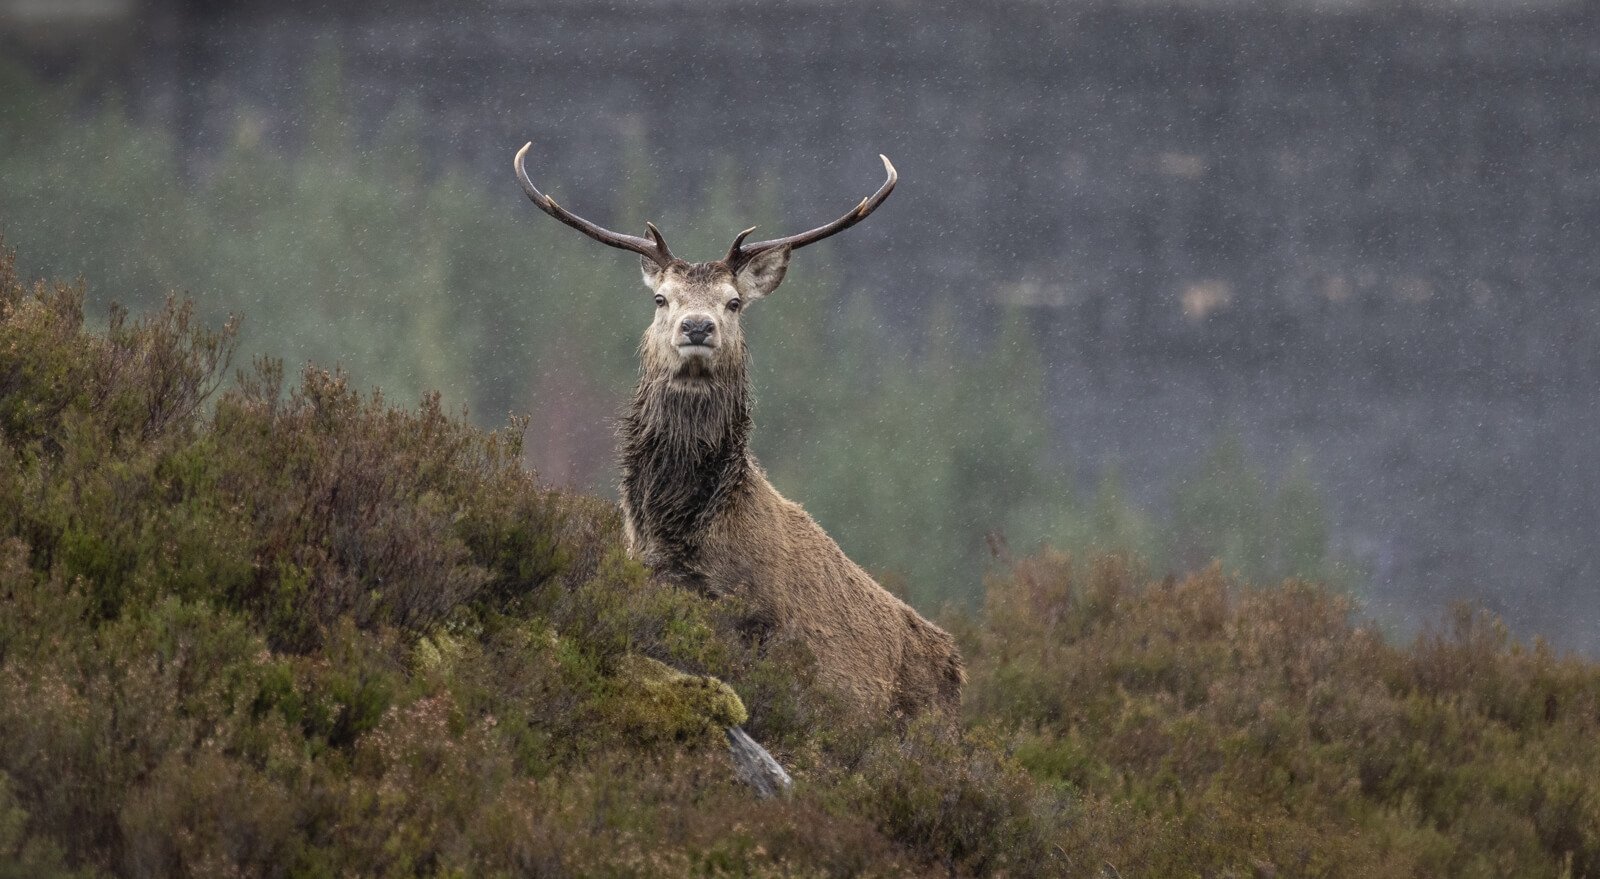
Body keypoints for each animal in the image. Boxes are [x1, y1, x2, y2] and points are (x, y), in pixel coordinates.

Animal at [513, 142, 964, 719]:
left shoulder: (757, 620)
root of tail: (959, 669)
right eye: (661, 299)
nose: (697, 326)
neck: (679, 529)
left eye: (734, 302)